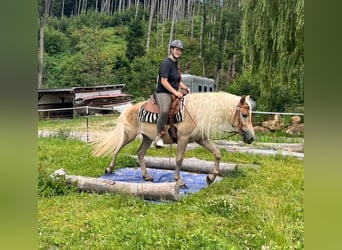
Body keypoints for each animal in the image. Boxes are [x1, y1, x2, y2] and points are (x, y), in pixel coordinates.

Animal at [91, 91, 254, 188]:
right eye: (244, 115)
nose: (252, 138)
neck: (195, 112)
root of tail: (129, 109)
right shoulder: (183, 139)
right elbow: (179, 160)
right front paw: (179, 181)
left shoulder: (201, 139)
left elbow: (217, 153)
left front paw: (211, 177)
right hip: (129, 135)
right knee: (117, 148)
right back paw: (109, 168)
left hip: (147, 138)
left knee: (140, 153)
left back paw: (147, 176)